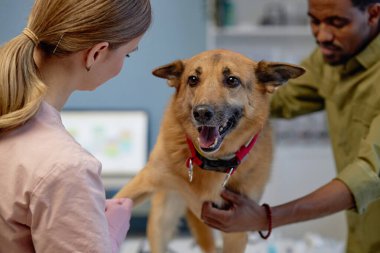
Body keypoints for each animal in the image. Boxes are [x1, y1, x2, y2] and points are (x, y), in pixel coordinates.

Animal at [114, 49, 304, 253]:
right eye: (193, 79)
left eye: (232, 80)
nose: (202, 113)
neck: (211, 162)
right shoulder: (143, 182)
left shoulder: (236, 226)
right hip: (162, 218)